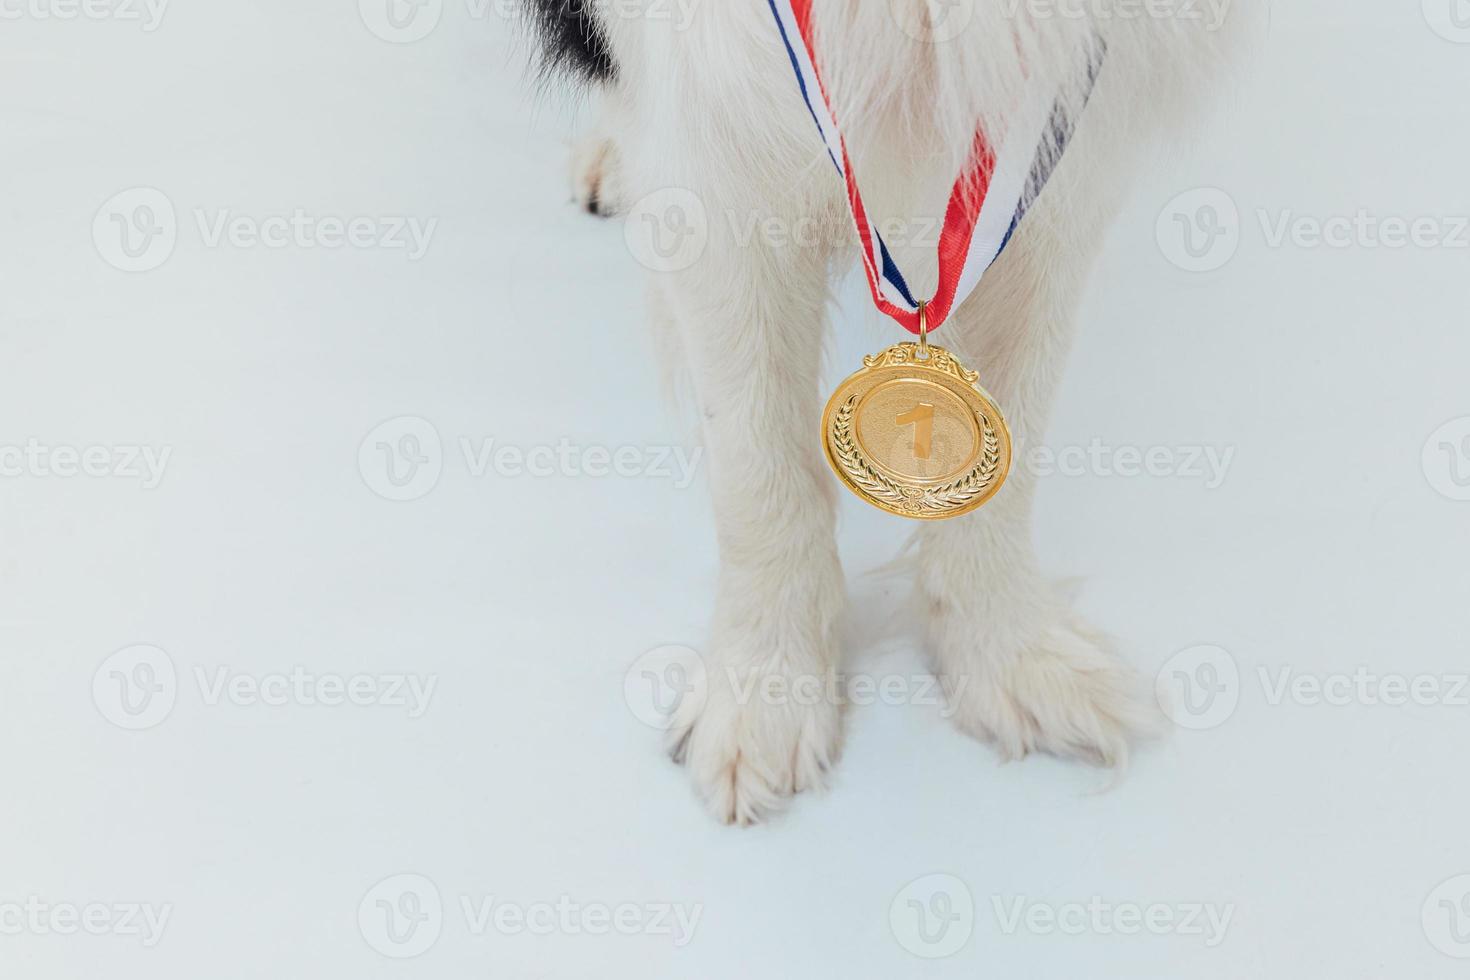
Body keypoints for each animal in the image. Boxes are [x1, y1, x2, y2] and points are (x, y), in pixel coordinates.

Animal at [523, 0, 1246, 822]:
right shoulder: (719, 141)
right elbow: (757, 466)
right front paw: (762, 696)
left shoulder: (1055, 133)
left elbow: (1011, 443)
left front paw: (1014, 658)